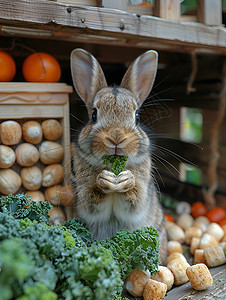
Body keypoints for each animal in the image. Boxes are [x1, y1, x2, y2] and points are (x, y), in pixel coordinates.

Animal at [70, 48, 168, 262]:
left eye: (137, 117)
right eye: (93, 115)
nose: (116, 138)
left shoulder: (141, 195)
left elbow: (135, 198)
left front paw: (125, 180)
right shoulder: (84, 195)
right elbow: (92, 198)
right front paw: (104, 180)